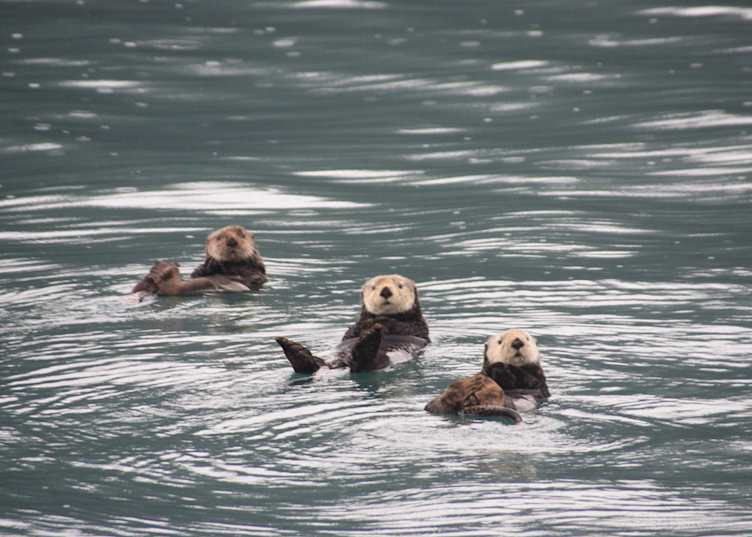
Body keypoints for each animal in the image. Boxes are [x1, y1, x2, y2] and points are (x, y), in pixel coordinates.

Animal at [275, 274, 430, 373]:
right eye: (374, 287)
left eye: (400, 286)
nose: (386, 290)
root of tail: (342, 364)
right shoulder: (352, 330)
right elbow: (352, 331)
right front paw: (369, 323)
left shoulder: (417, 326)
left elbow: (404, 327)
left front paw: (379, 323)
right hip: (326, 360)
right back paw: (293, 349)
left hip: (383, 360)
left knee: (367, 364)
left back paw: (369, 340)